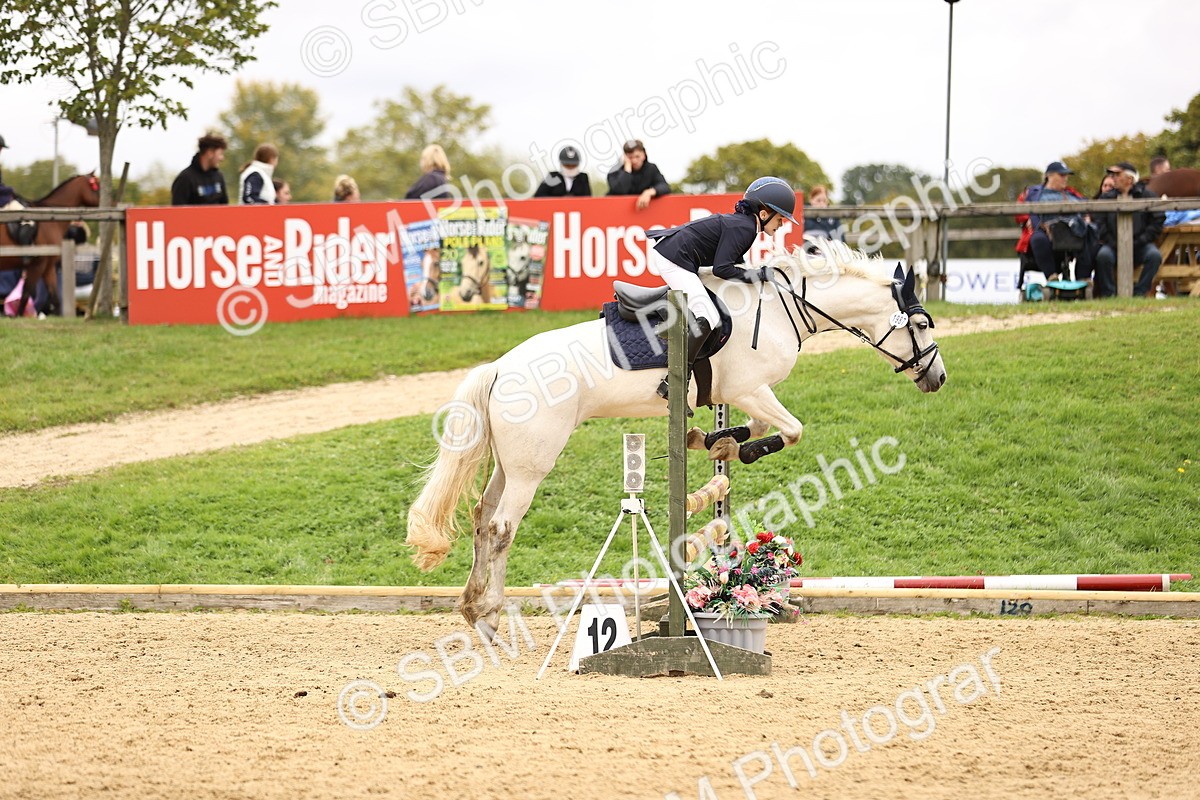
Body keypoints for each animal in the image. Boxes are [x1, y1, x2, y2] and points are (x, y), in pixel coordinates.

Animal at [0, 174, 101, 318]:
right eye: (95, 187)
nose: (110, 203)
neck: (51, 219)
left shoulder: (48, 267)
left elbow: (54, 296)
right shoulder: (38, 265)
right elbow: (26, 292)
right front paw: (18, 316)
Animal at [406, 239, 948, 632]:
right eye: (921, 323)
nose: (938, 379)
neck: (781, 311)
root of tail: (499, 367)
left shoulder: (744, 393)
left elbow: (758, 429)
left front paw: (716, 441)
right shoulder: (750, 388)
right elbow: (790, 430)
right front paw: (740, 447)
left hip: (509, 462)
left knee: (482, 519)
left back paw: (474, 609)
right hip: (531, 464)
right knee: (501, 528)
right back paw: (491, 615)